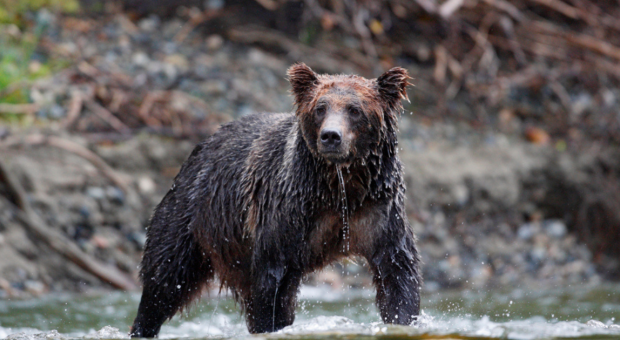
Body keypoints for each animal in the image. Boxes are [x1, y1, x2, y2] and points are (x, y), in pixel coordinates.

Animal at [130, 62, 422, 336]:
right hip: (192, 216)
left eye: (354, 109)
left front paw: (403, 321)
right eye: (320, 108)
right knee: (165, 278)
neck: (339, 186)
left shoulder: (378, 210)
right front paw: (271, 325)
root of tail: (199, 148)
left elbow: (397, 272)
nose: (330, 136)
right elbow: (273, 282)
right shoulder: (288, 212)